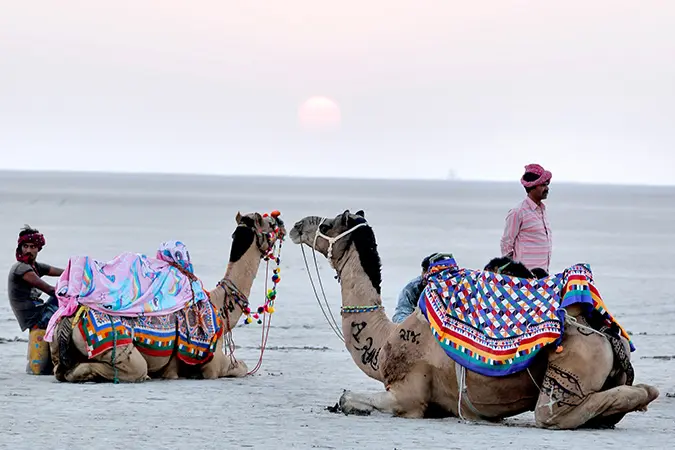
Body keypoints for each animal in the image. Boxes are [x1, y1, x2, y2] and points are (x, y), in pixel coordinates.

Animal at [48, 212, 286, 384]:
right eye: (268, 223)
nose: (281, 222)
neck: (219, 304)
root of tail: (71, 317)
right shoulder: (212, 364)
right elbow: (242, 366)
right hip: (114, 348)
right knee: (120, 369)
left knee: (62, 370)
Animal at [290, 210, 660, 428]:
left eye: (326, 224)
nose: (295, 226)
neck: (383, 342)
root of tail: (605, 334)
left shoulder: (409, 396)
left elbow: (346, 397)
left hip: (572, 371)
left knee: (556, 412)